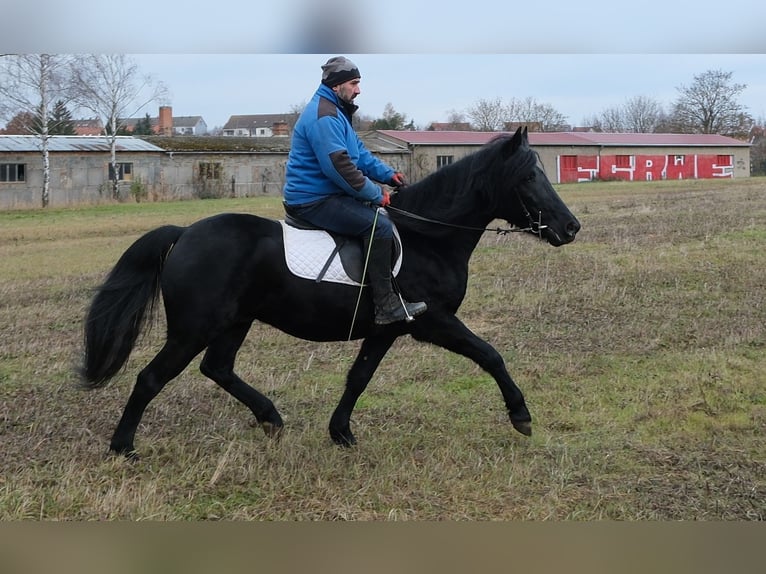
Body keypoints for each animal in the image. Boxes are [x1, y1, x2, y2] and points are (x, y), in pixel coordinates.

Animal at [80, 127, 580, 457]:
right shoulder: (434, 321)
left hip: (233, 322)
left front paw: (341, 433)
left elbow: (358, 377)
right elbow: (490, 355)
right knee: (151, 378)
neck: (428, 236)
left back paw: (271, 418)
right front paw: (521, 416)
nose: (571, 227)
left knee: (217, 368)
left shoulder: (385, 329)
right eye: (528, 178)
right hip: (193, 328)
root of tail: (184, 233)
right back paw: (123, 448)